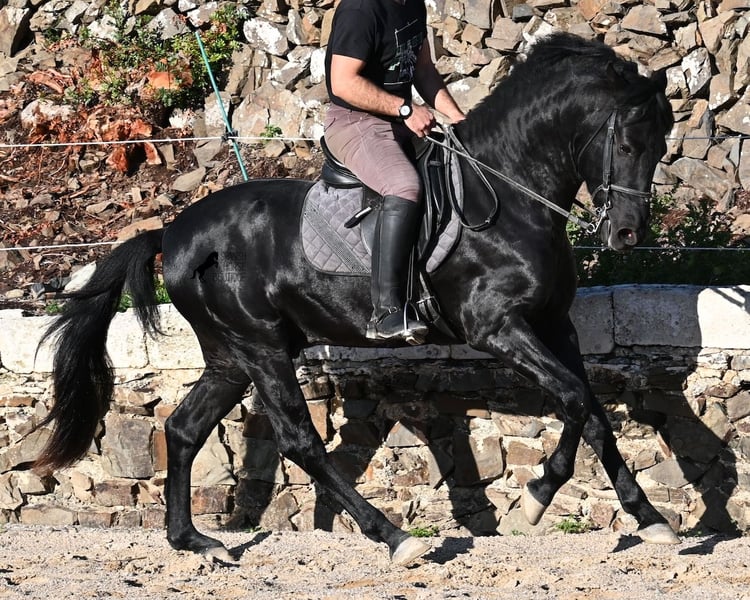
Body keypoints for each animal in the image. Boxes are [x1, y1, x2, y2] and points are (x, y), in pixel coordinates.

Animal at [35, 33, 677, 565]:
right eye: (625, 142)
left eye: (661, 143)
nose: (627, 235)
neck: (507, 193)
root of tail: (172, 233)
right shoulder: (497, 328)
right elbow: (575, 400)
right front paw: (542, 496)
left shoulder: (554, 325)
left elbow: (588, 410)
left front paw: (638, 514)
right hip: (262, 349)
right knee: (300, 441)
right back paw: (393, 536)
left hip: (230, 355)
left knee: (184, 428)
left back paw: (192, 540)